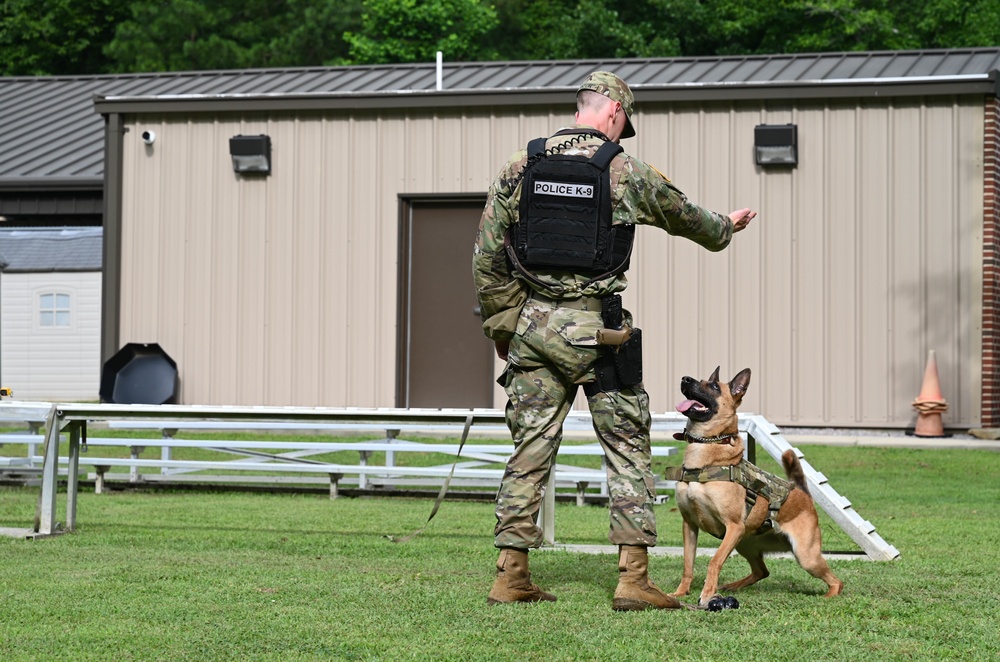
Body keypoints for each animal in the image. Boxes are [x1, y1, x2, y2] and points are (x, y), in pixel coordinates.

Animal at [672, 368, 844, 608]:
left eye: (714, 386)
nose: (685, 379)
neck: (707, 453)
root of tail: (802, 493)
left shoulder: (733, 526)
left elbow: (714, 562)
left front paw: (707, 594)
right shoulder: (689, 525)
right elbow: (688, 565)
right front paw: (680, 593)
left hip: (806, 556)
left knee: (836, 581)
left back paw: (829, 596)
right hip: (745, 543)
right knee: (762, 571)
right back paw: (732, 586)